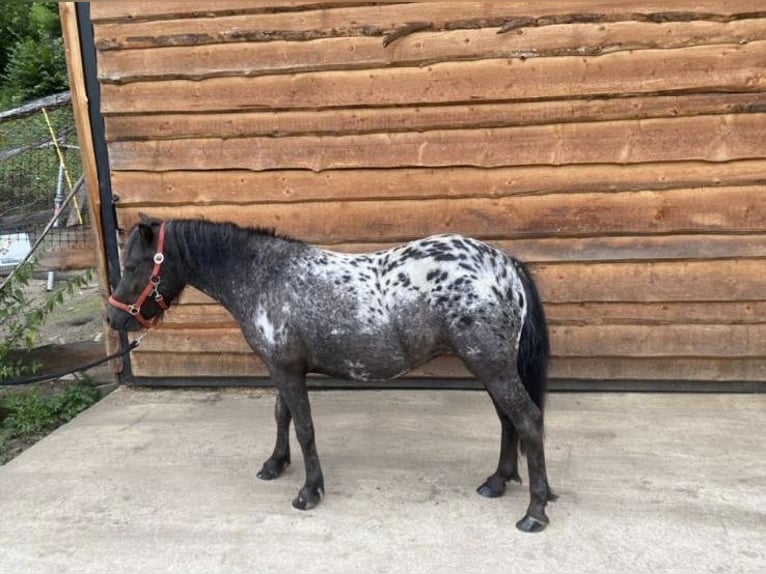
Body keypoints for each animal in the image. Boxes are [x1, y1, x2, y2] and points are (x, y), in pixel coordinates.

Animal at [108, 216, 560, 536]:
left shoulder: (287, 370)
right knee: (507, 420)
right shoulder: (282, 367)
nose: (114, 318)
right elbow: (282, 416)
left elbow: (304, 427)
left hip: (491, 364)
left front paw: (309, 491)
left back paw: (534, 512)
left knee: (527, 421)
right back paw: (497, 482)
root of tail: (505, 265)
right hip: (490, 365)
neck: (265, 275)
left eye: (134, 265)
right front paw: (275, 464)